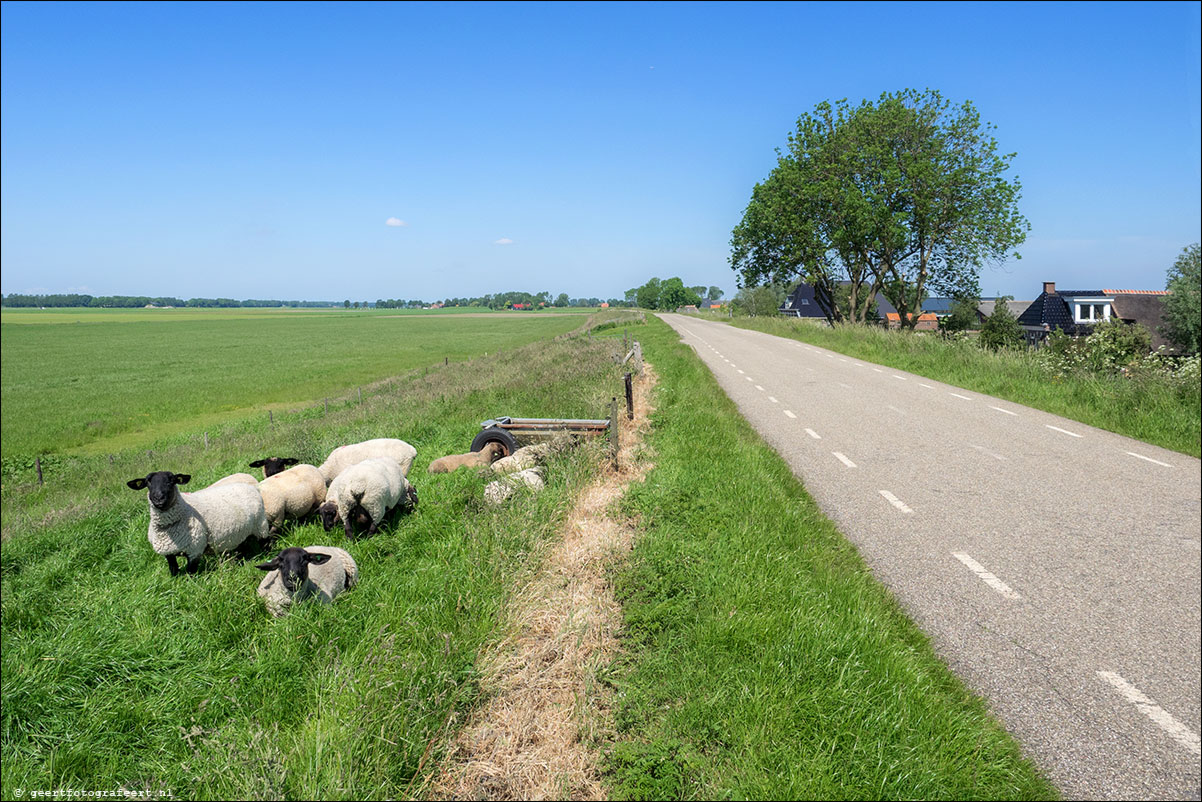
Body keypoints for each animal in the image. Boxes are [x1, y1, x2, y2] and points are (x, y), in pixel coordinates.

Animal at [125, 471, 269, 577]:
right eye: (148, 482)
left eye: (171, 480)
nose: (158, 498)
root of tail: (253, 487)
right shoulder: (168, 553)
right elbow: (173, 570)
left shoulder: (194, 550)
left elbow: (190, 573)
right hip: (242, 532)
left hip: (261, 526)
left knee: (266, 543)